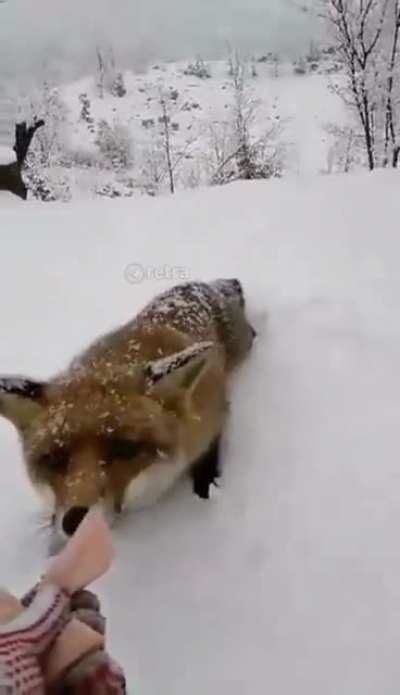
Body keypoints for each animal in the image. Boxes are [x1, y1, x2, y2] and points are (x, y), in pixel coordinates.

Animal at [0, 279, 255, 544]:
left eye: (125, 449)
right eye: (54, 458)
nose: (75, 523)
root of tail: (197, 285)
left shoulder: (212, 417)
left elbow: (208, 459)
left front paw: (205, 491)